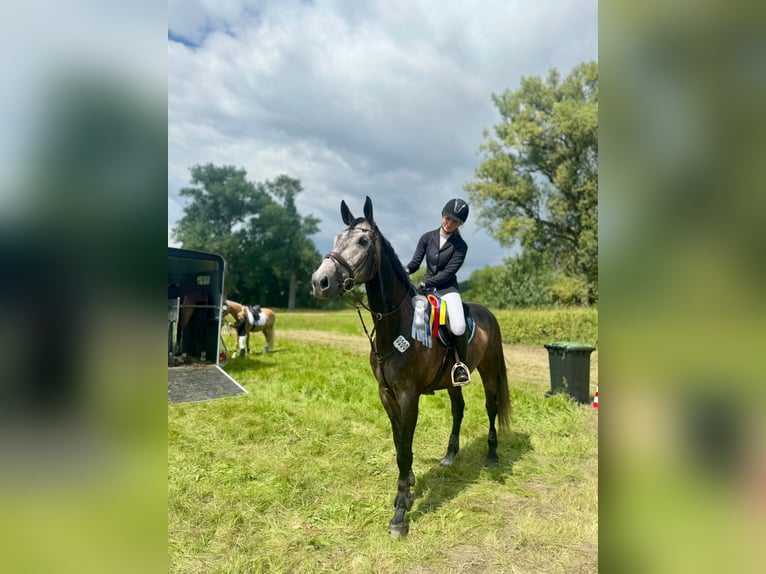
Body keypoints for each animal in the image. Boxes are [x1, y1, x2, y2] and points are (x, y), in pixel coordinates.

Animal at [312, 198, 510, 540]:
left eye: (363, 241)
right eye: (337, 238)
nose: (319, 282)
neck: (396, 325)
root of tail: (487, 313)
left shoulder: (408, 395)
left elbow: (405, 448)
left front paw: (399, 516)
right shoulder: (386, 393)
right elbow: (398, 443)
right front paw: (406, 491)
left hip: (489, 370)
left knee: (491, 406)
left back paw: (492, 455)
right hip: (453, 381)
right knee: (459, 409)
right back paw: (449, 455)